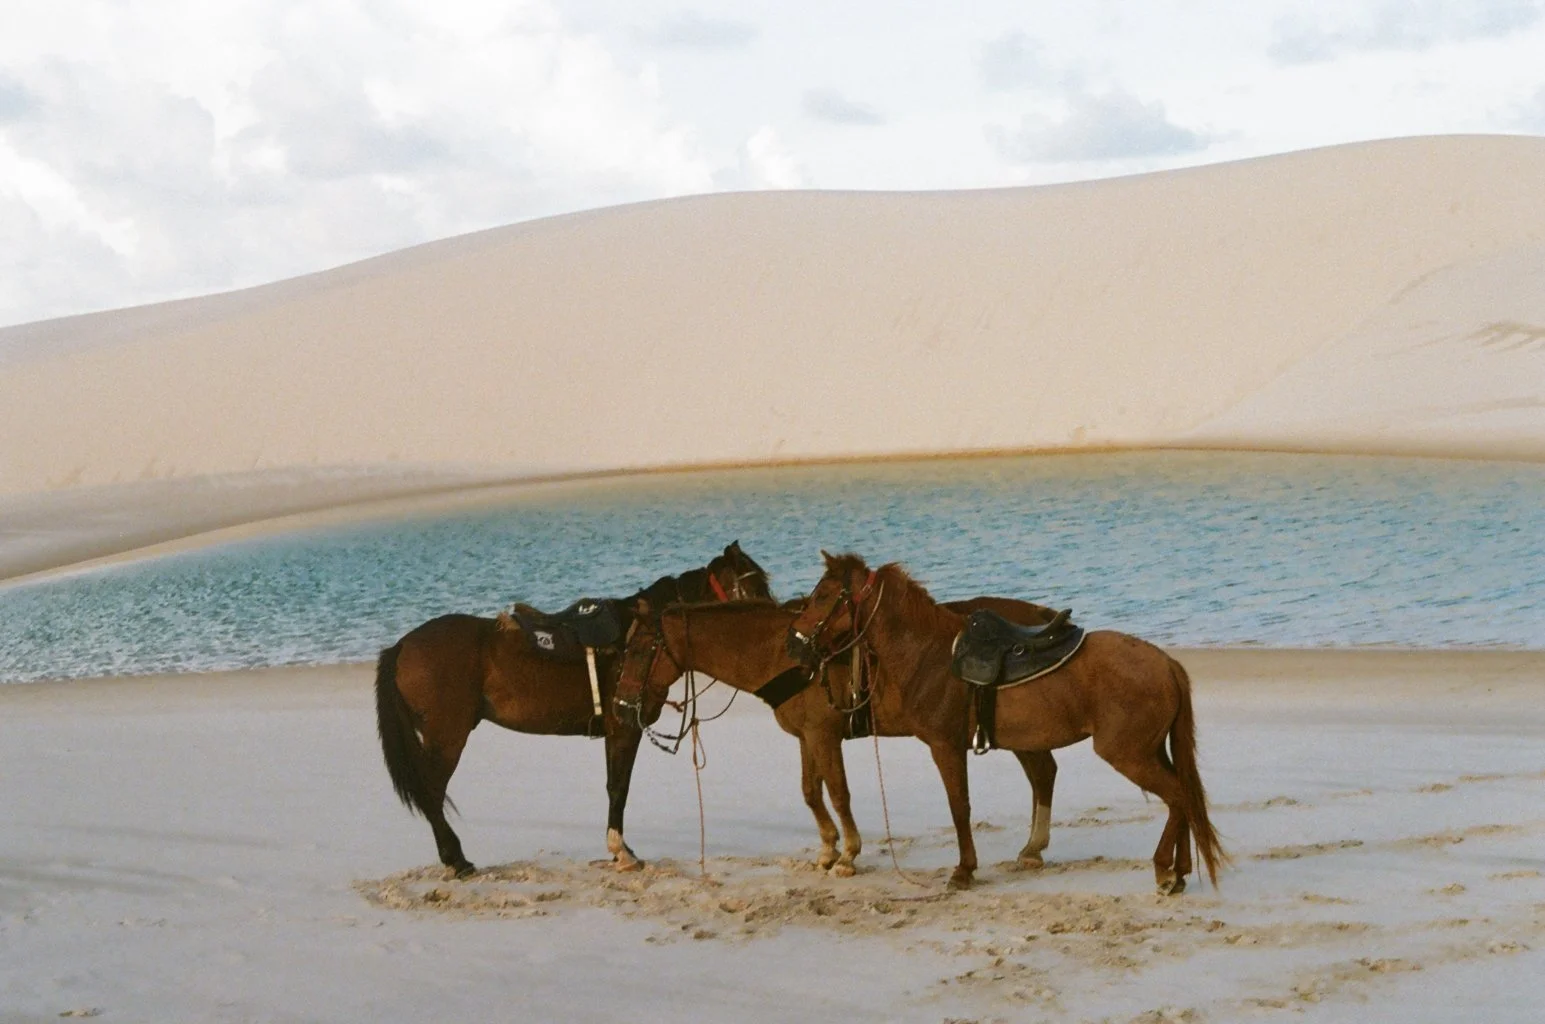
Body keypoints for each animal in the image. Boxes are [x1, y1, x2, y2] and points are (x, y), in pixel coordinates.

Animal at [373, 541, 771, 877]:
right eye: (756, 589)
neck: (645, 638)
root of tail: (401, 646)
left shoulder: (616, 731)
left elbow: (615, 786)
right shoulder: (625, 728)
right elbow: (619, 788)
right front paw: (622, 852)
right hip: (447, 737)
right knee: (432, 793)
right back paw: (457, 860)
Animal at [613, 596, 1065, 878]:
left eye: (636, 651)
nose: (620, 704)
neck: (781, 655)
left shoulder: (824, 735)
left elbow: (838, 792)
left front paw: (847, 854)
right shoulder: (806, 737)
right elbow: (811, 792)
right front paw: (828, 849)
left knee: (1042, 772)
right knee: (1043, 772)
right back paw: (1032, 848)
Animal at [785, 552, 1226, 894]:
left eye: (823, 596)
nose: (794, 643)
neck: (929, 656)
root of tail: (1165, 663)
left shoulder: (945, 746)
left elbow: (959, 806)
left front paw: (964, 870)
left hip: (1129, 755)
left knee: (1177, 797)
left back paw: (1164, 871)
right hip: (1149, 752)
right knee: (1182, 796)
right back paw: (1179, 871)